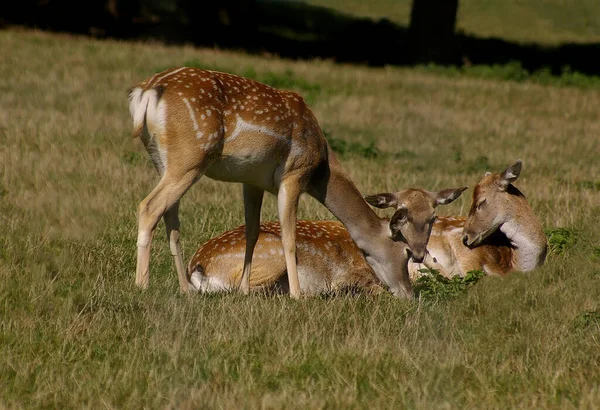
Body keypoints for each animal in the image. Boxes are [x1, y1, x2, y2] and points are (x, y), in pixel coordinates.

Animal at [130, 67, 432, 298]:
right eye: (406, 252)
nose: (408, 294)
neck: (320, 166)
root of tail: (146, 92)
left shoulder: (251, 180)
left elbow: (252, 231)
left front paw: (244, 289)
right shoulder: (293, 174)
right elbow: (289, 236)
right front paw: (296, 295)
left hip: (163, 160)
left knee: (171, 216)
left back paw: (184, 288)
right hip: (190, 156)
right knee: (148, 206)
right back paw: (141, 286)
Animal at [185, 187, 466, 294]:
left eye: (433, 216)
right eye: (403, 213)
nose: (418, 252)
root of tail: (197, 266)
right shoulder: (353, 274)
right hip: (272, 253)